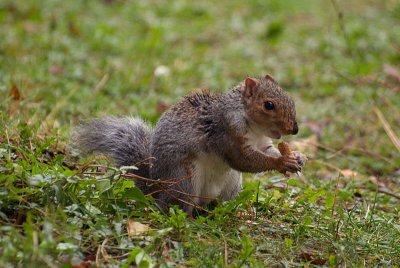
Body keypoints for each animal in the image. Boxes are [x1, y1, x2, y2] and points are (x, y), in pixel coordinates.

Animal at [74, 74, 306, 215]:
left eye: (290, 99)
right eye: (269, 105)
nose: (294, 129)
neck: (253, 126)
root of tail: (157, 190)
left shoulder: (262, 142)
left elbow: (268, 151)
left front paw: (297, 157)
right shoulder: (226, 132)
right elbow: (242, 160)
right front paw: (282, 162)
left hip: (231, 184)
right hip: (184, 180)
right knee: (176, 207)